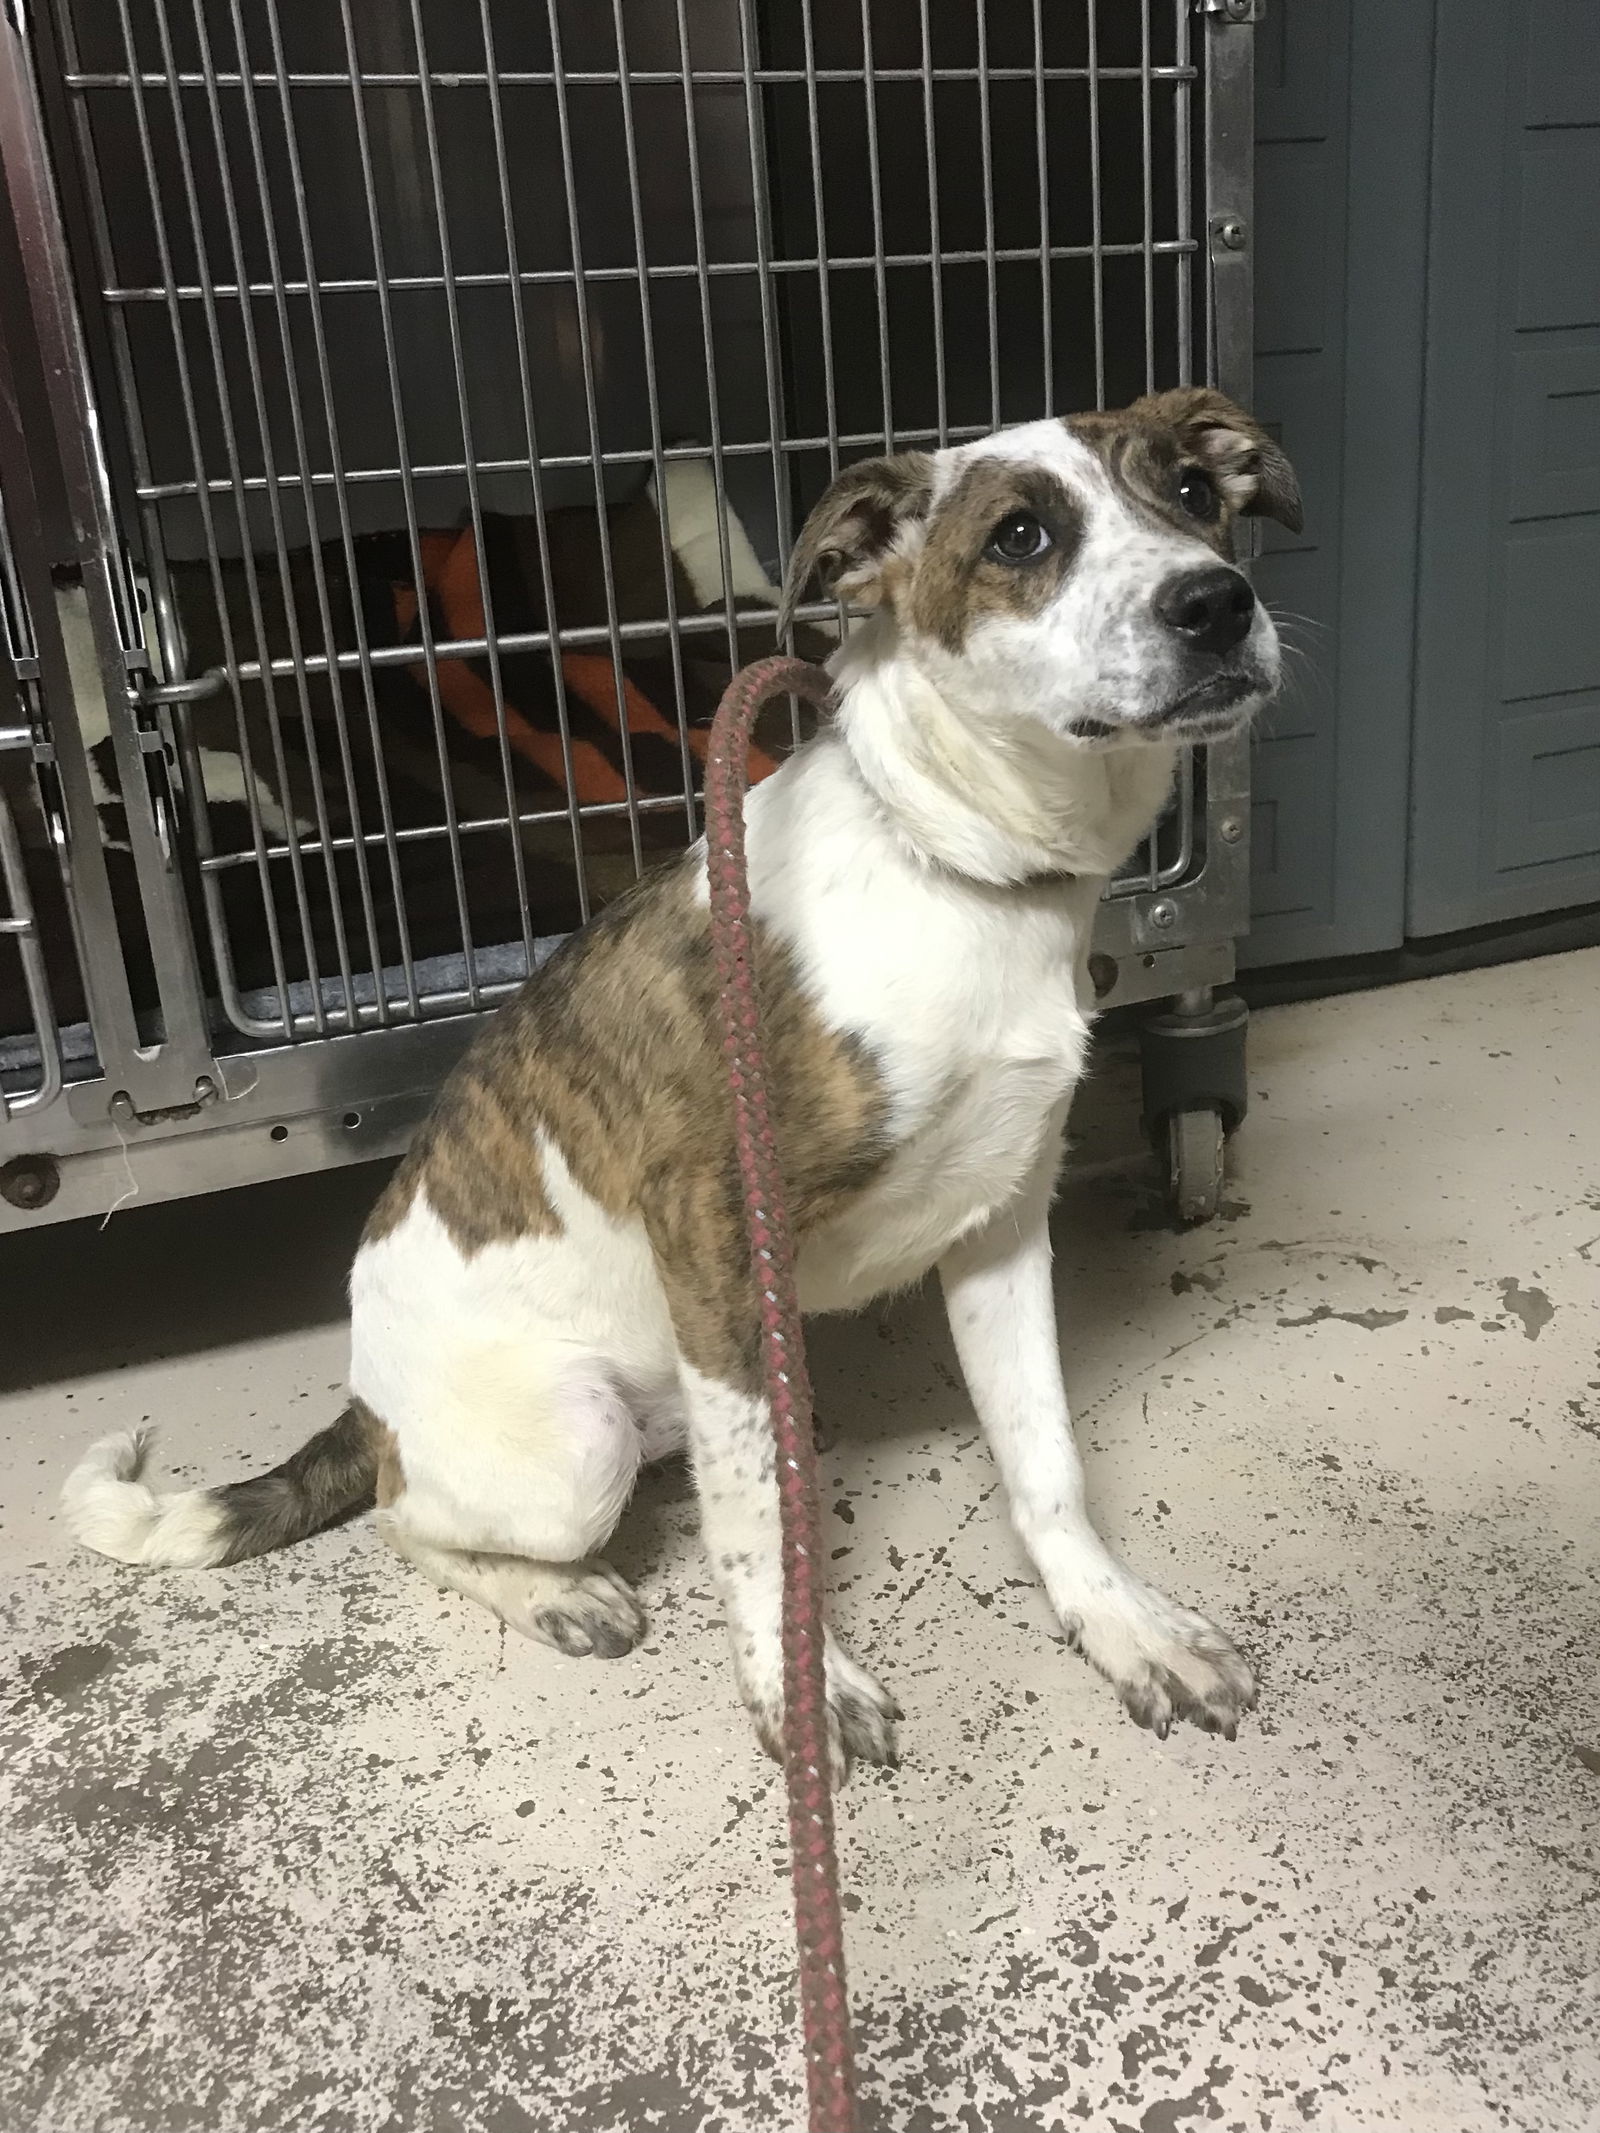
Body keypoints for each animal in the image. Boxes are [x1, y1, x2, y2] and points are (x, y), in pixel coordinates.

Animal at [65, 388, 1305, 1783]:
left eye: (1195, 495)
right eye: (1021, 535)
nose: (1214, 605)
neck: (961, 872)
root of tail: (366, 1406)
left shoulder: (1000, 1227)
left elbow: (1045, 1462)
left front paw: (1118, 1625)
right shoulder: (712, 1224)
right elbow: (760, 1523)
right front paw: (794, 1687)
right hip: (577, 1437)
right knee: (403, 1520)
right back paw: (558, 1594)